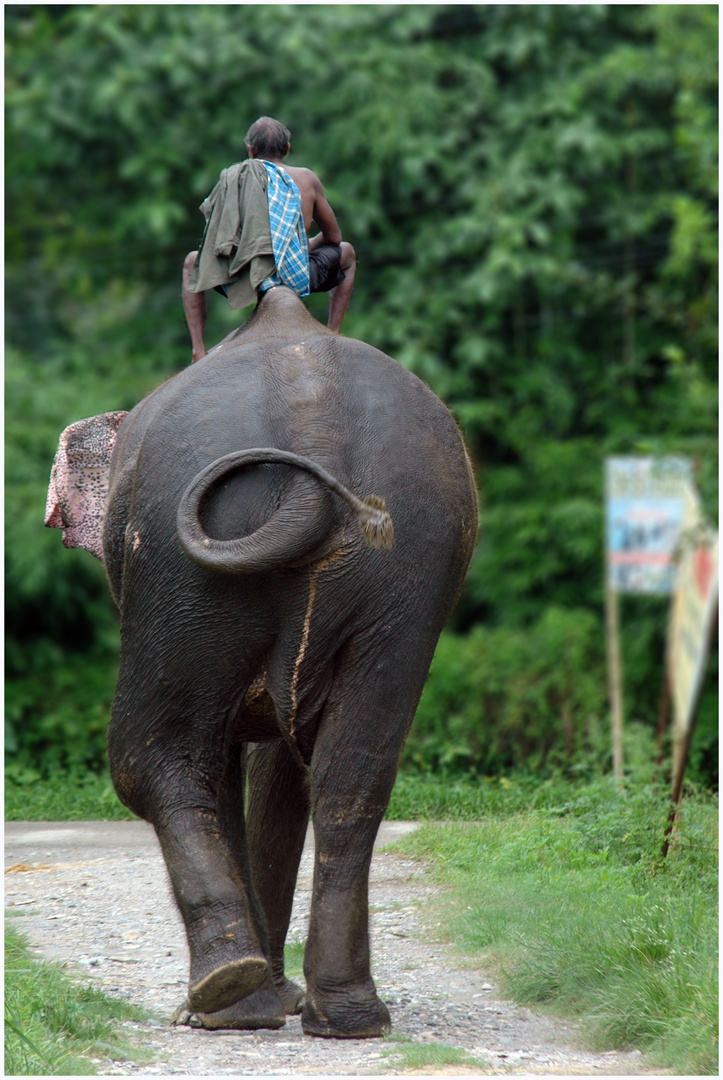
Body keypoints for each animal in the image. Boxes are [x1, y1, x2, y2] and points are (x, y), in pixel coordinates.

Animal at [43, 287, 473, 1036]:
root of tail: (313, 419)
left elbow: (235, 764)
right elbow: (283, 771)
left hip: (183, 569)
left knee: (152, 756)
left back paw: (224, 997)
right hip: (412, 567)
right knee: (351, 771)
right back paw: (347, 1017)